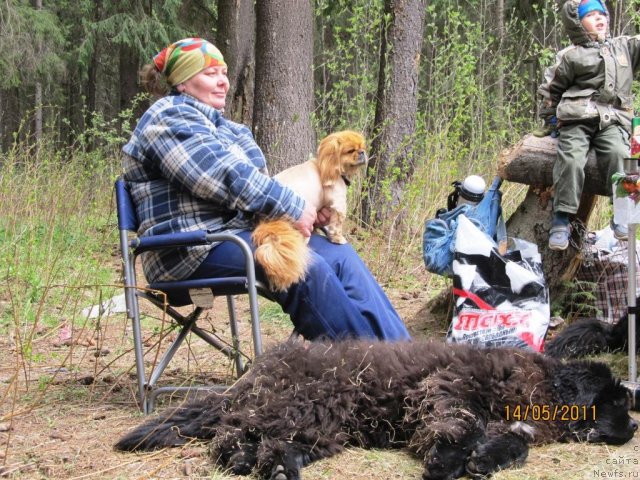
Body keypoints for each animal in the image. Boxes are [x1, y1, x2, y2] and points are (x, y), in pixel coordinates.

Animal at [115, 340, 636, 478]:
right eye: (616, 401)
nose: (633, 427)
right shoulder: (447, 387)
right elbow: (464, 425)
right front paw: (447, 460)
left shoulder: (515, 425)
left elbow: (513, 443)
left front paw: (483, 461)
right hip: (309, 402)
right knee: (231, 435)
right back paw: (256, 461)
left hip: (326, 423)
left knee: (267, 442)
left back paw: (280, 465)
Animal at [252, 129, 368, 290]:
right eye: (351, 151)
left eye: (362, 147)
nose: (362, 152)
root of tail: (268, 221)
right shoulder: (338, 204)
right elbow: (336, 226)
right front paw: (338, 239)